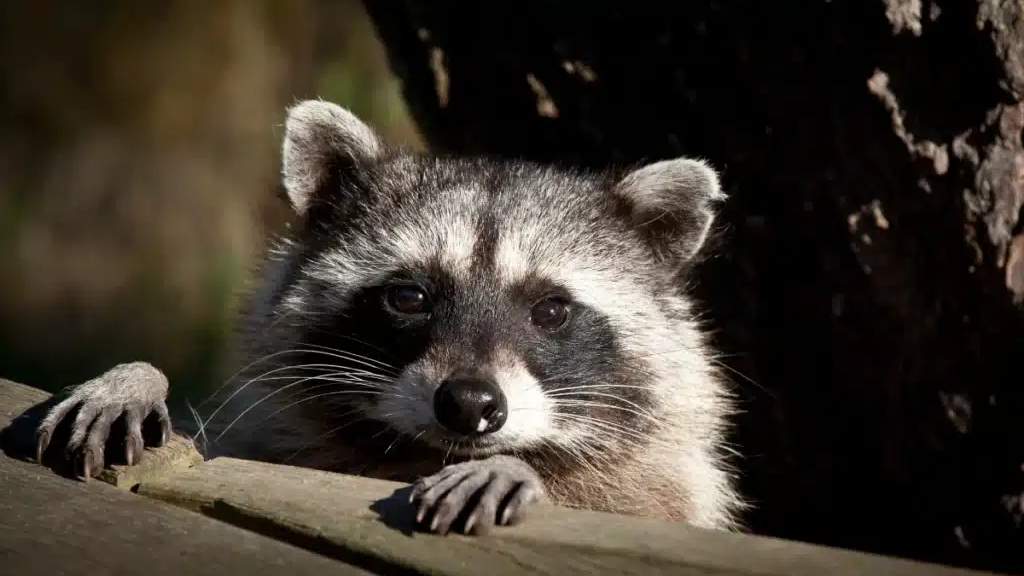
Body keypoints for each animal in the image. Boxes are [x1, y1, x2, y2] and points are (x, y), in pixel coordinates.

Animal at [35, 100, 743, 535]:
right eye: (409, 297)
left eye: (551, 310)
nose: (470, 404)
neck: (417, 454)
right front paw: (137, 378)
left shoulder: (662, 489)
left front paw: (519, 467)